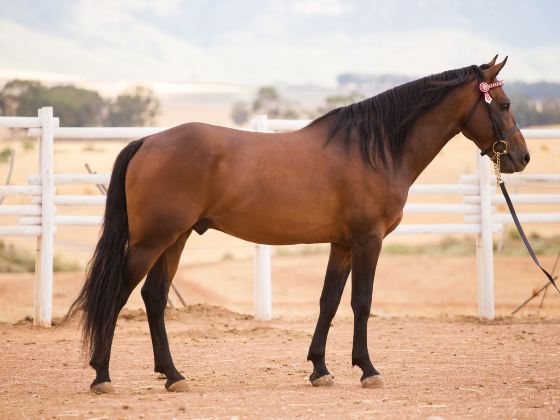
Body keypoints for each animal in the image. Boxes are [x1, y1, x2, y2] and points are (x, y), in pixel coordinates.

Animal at [66, 55, 528, 394]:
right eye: (504, 105)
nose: (521, 158)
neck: (374, 149)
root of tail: (148, 140)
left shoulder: (342, 245)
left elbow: (328, 303)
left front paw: (320, 369)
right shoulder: (368, 240)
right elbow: (361, 302)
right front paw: (368, 369)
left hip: (175, 239)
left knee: (154, 297)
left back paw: (173, 375)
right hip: (152, 241)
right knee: (117, 295)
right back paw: (102, 375)